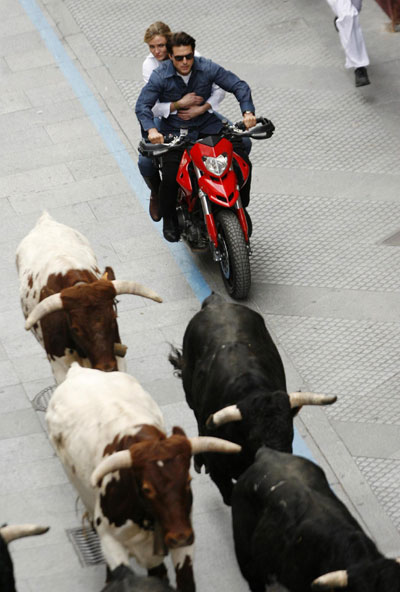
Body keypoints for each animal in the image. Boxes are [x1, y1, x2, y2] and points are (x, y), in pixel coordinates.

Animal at [16, 213, 161, 384]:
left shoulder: (118, 357)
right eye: (75, 328)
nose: (107, 368)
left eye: (113, 318)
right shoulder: (60, 367)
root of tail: (45, 221)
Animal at [47, 360, 241, 592]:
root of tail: (79, 371)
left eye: (187, 482)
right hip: (84, 495)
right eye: (147, 488)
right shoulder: (111, 542)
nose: (180, 537)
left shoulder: (184, 534)